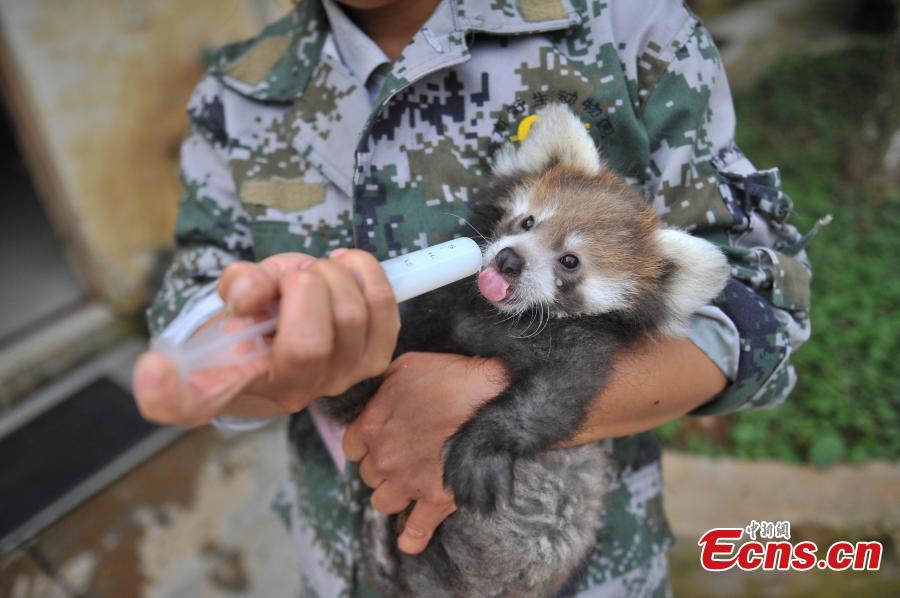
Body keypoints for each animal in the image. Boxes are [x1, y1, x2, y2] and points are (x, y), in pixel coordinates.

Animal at [320, 104, 728, 598]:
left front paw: (481, 448)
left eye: (569, 261)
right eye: (528, 221)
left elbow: (551, 400)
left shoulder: (580, 351)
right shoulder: (440, 310)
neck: (493, 317)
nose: (508, 260)